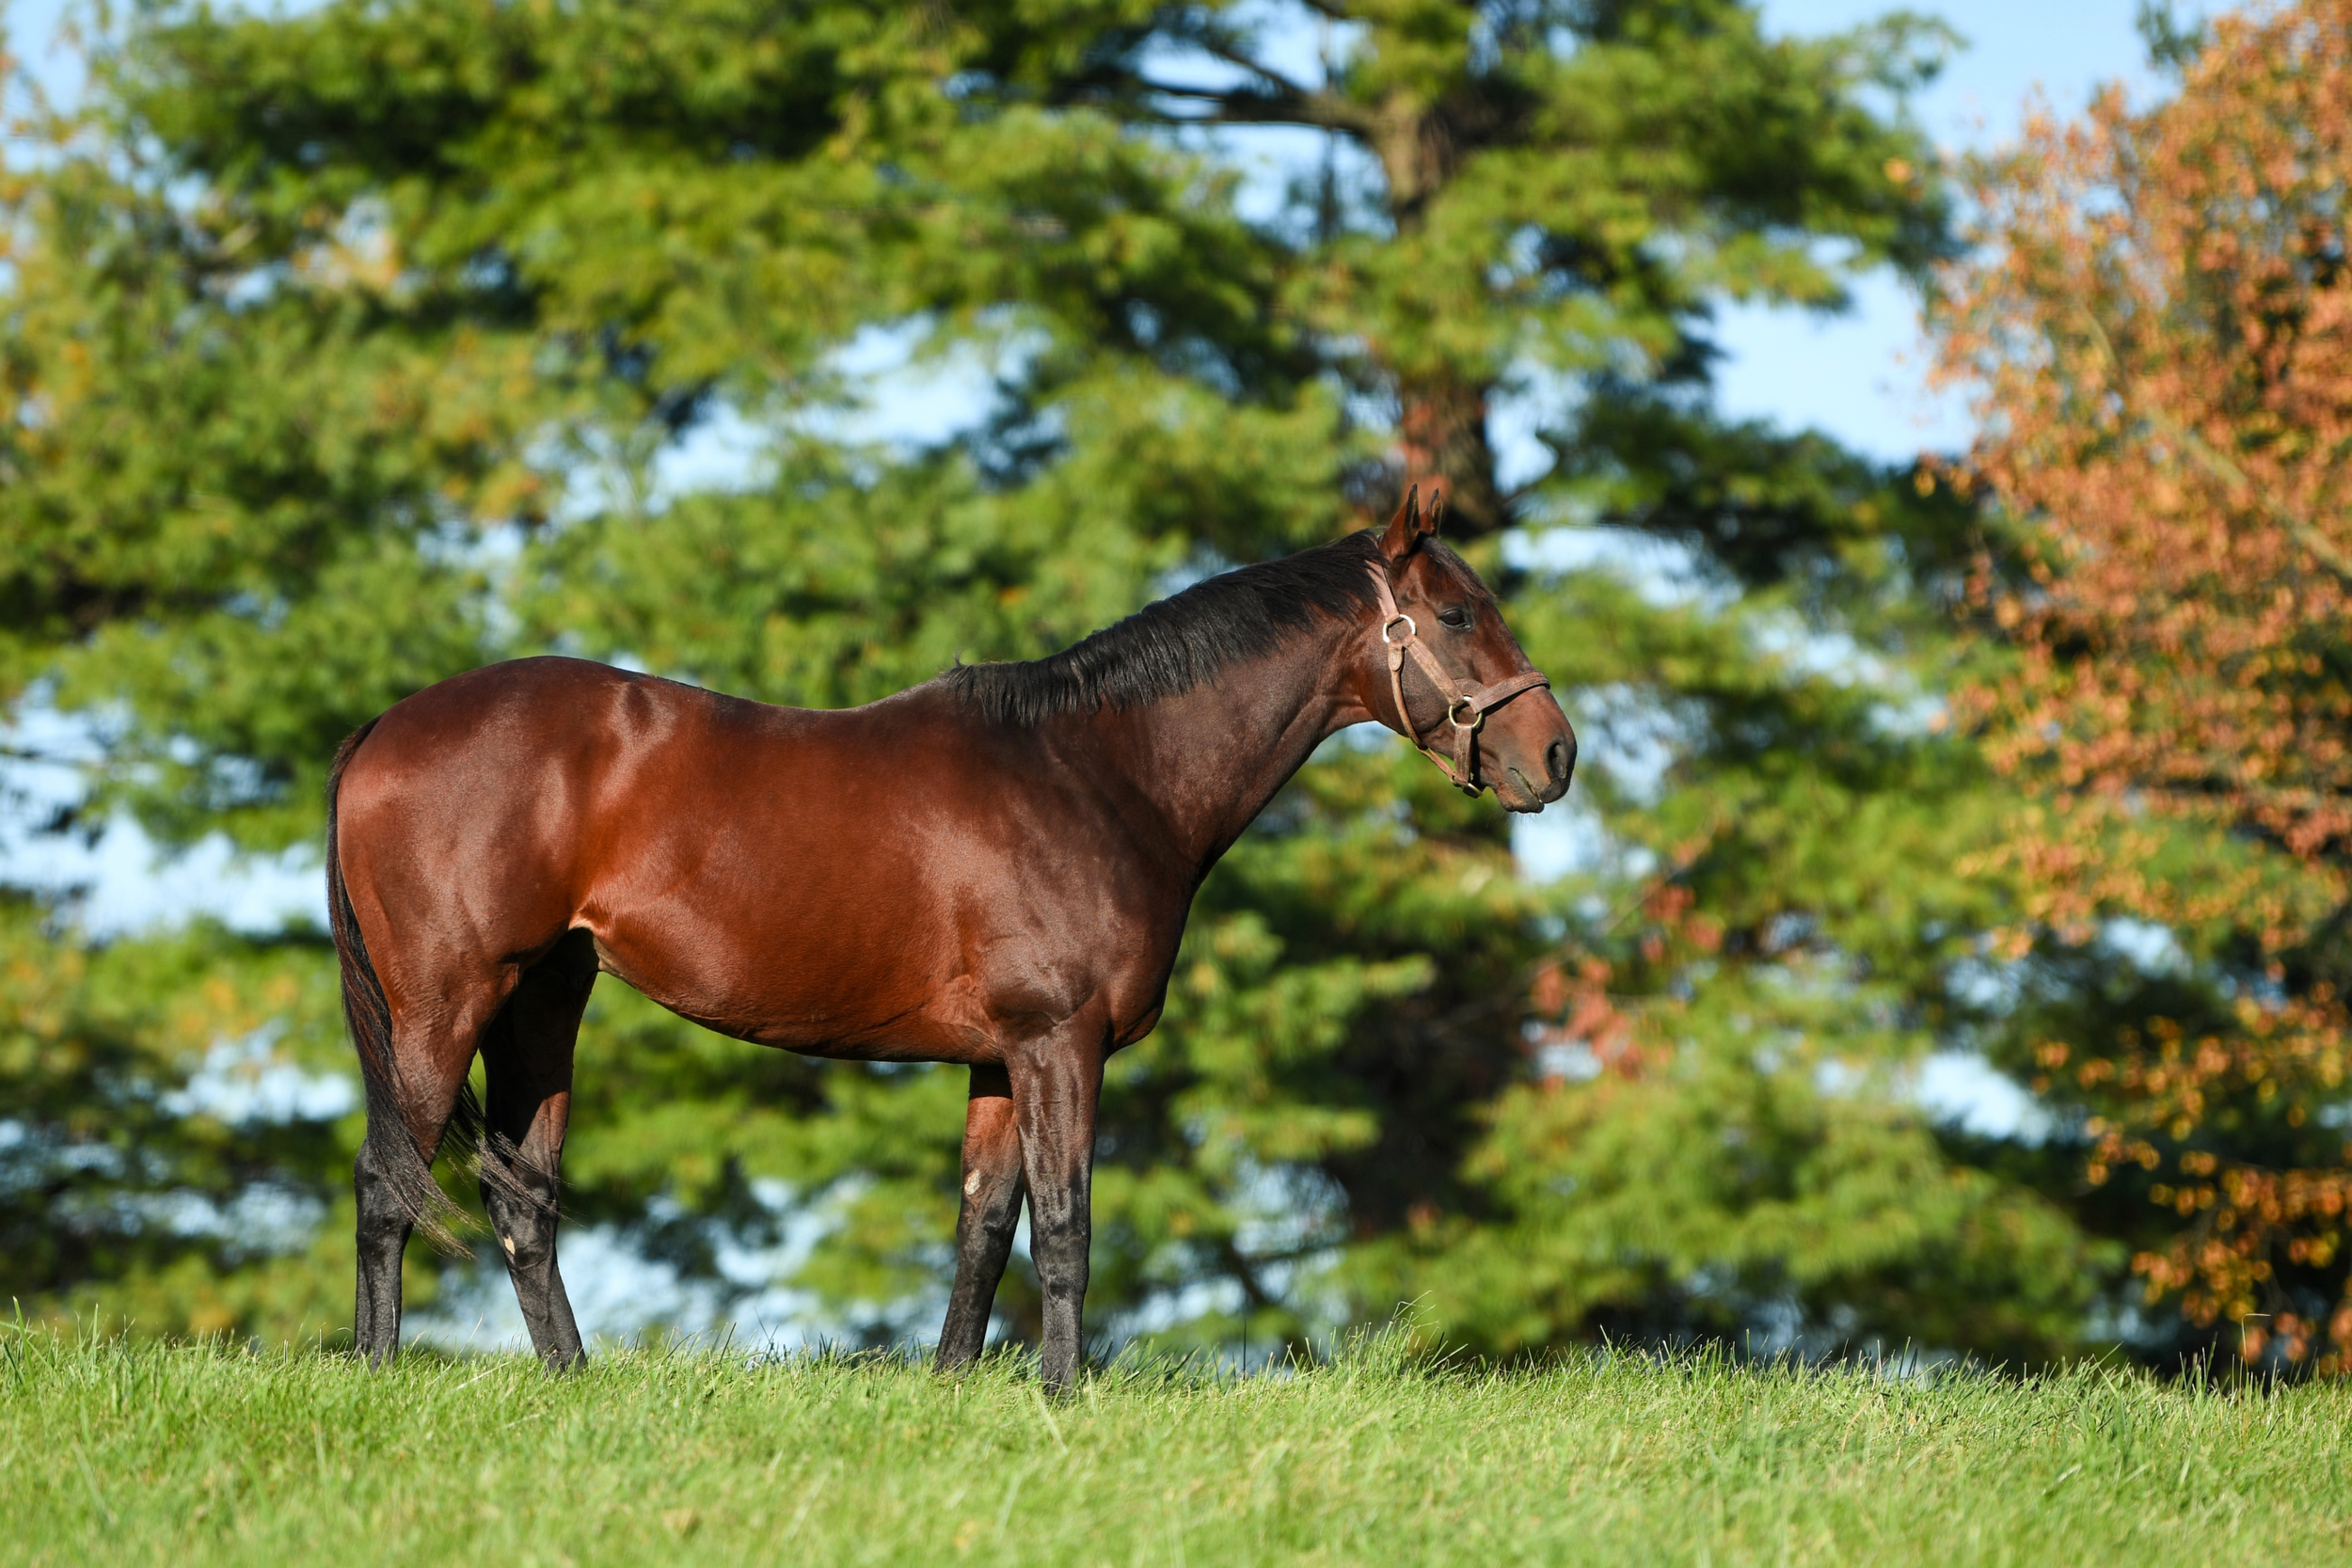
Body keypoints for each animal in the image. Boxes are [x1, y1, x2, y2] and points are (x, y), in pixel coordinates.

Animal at [326, 488, 1575, 1392]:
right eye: (1456, 615)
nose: (1556, 755)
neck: (1096, 768)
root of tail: (384, 726)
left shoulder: (999, 1057)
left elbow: (985, 1221)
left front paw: (953, 1389)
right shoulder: (1059, 1040)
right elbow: (1064, 1222)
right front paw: (1064, 1395)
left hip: (545, 1000)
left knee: (521, 1196)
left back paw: (573, 1381)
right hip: (447, 1002)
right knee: (390, 1180)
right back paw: (379, 1374)